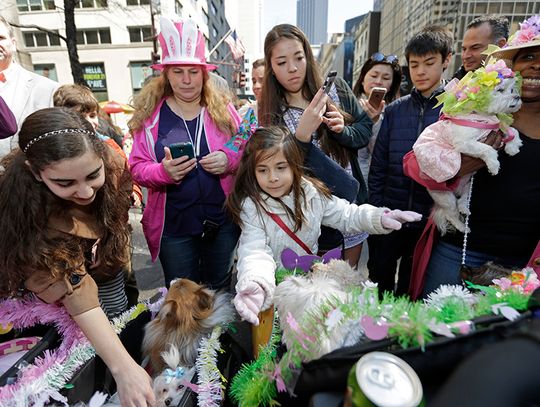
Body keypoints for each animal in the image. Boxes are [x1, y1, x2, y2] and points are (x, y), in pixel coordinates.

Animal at [414, 60, 524, 234]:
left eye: (512, 89)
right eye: (500, 90)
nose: (517, 97)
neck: (483, 117)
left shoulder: (495, 127)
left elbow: (511, 129)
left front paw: (513, 146)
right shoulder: (465, 143)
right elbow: (487, 149)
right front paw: (494, 165)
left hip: (467, 185)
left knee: (463, 200)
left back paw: (464, 209)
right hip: (444, 197)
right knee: (450, 213)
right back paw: (460, 226)